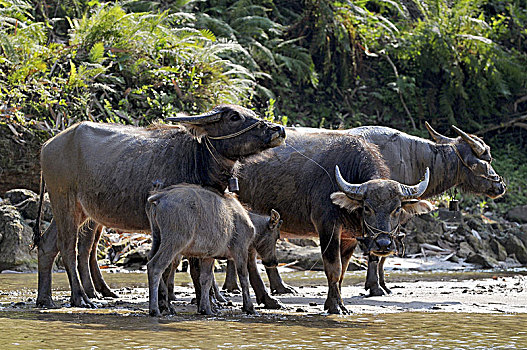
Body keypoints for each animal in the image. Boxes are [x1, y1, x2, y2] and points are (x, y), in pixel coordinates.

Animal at [146, 185, 282, 316]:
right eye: (277, 236)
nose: (274, 262)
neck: (253, 226)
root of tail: (158, 198)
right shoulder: (240, 249)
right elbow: (244, 277)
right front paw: (249, 308)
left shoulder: (209, 255)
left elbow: (205, 279)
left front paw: (205, 308)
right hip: (176, 241)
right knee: (155, 266)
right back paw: (155, 309)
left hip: (157, 238)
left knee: (151, 260)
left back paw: (165, 306)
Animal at [237, 129, 436, 314]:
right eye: (367, 207)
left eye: (397, 209)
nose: (383, 244)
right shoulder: (327, 227)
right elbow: (334, 268)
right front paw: (334, 306)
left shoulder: (349, 237)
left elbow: (342, 271)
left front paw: (338, 302)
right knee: (250, 258)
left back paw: (268, 297)